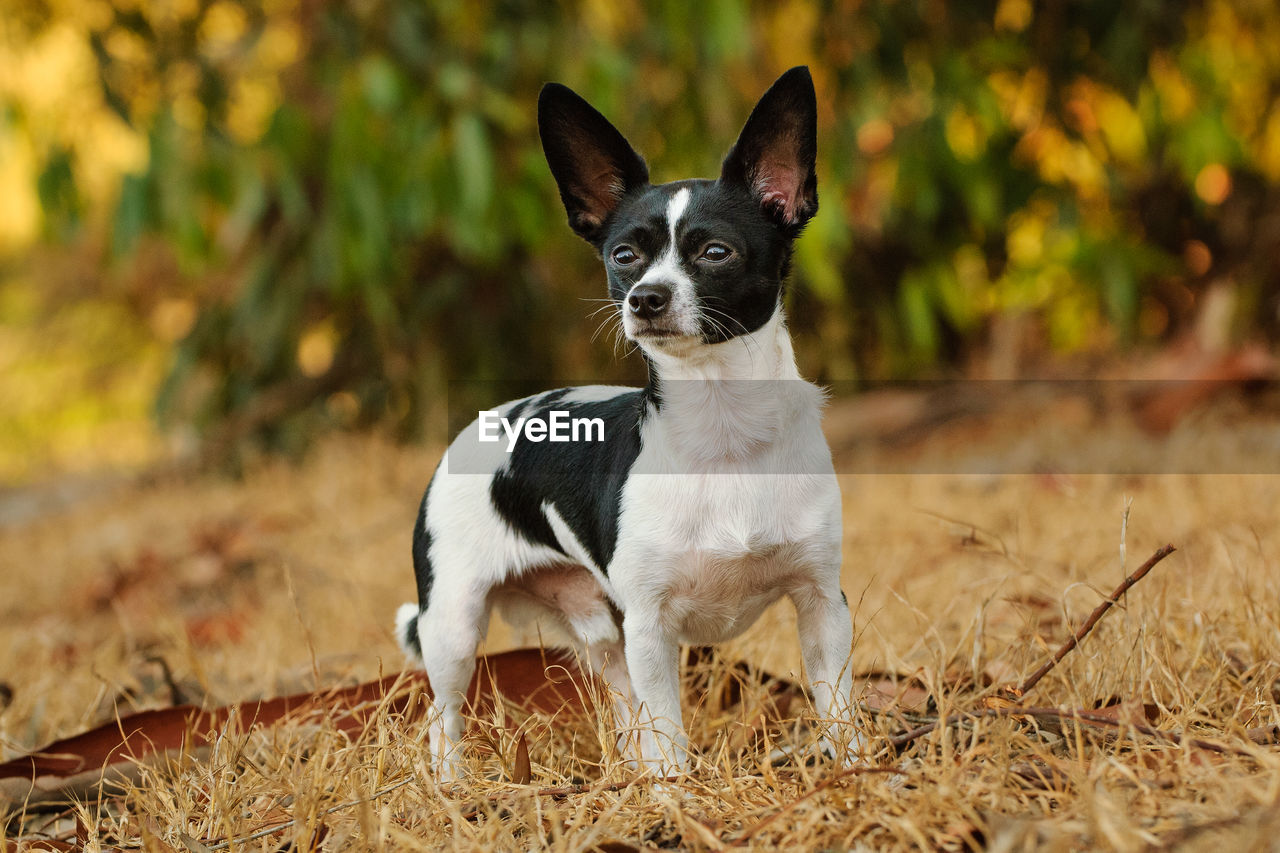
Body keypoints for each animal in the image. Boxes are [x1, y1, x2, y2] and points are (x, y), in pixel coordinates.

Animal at [396, 63, 860, 773]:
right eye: (623, 257)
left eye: (715, 253)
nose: (646, 298)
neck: (723, 433)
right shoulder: (651, 625)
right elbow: (670, 732)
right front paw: (675, 791)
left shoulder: (821, 604)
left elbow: (837, 707)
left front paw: (865, 772)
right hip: (453, 627)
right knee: (441, 716)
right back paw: (451, 785)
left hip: (601, 634)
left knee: (623, 707)